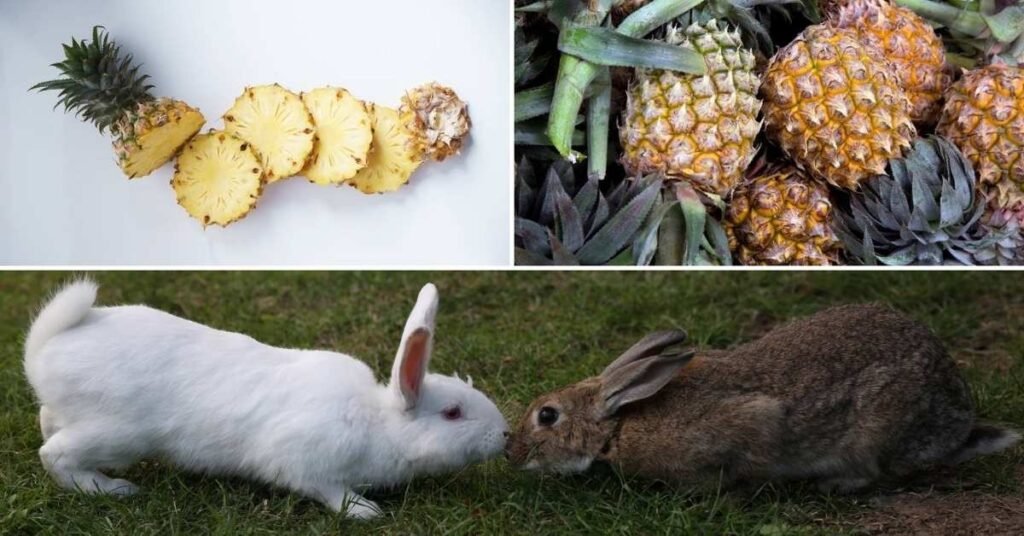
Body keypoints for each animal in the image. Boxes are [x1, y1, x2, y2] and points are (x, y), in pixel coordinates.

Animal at [24, 280, 508, 519]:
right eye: (452, 413)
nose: (504, 435)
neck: (377, 422)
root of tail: (44, 351)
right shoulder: (303, 462)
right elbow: (327, 490)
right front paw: (364, 511)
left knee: (48, 421)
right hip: (118, 434)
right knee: (54, 455)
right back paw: (113, 489)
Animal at [506, 303, 1020, 493]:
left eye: (547, 416)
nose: (511, 453)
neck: (619, 422)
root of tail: (958, 424)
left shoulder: (750, 423)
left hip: (877, 428)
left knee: (872, 471)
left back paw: (830, 486)